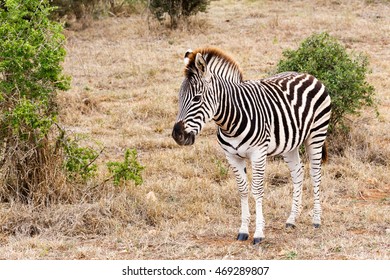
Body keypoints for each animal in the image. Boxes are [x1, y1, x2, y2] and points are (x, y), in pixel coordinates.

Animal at [172, 47, 330, 244]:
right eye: (179, 97)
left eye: (196, 98)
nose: (177, 135)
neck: (231, 122)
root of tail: (309, 75)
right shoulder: (232, 156)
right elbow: (242, 190)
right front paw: (243, 230)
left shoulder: (258, 154)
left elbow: (257, 190)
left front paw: (259, 233)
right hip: (290, 143)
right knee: (298, 173)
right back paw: (292, 219)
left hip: (316, 134)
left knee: (315, 174)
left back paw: (316, 220)